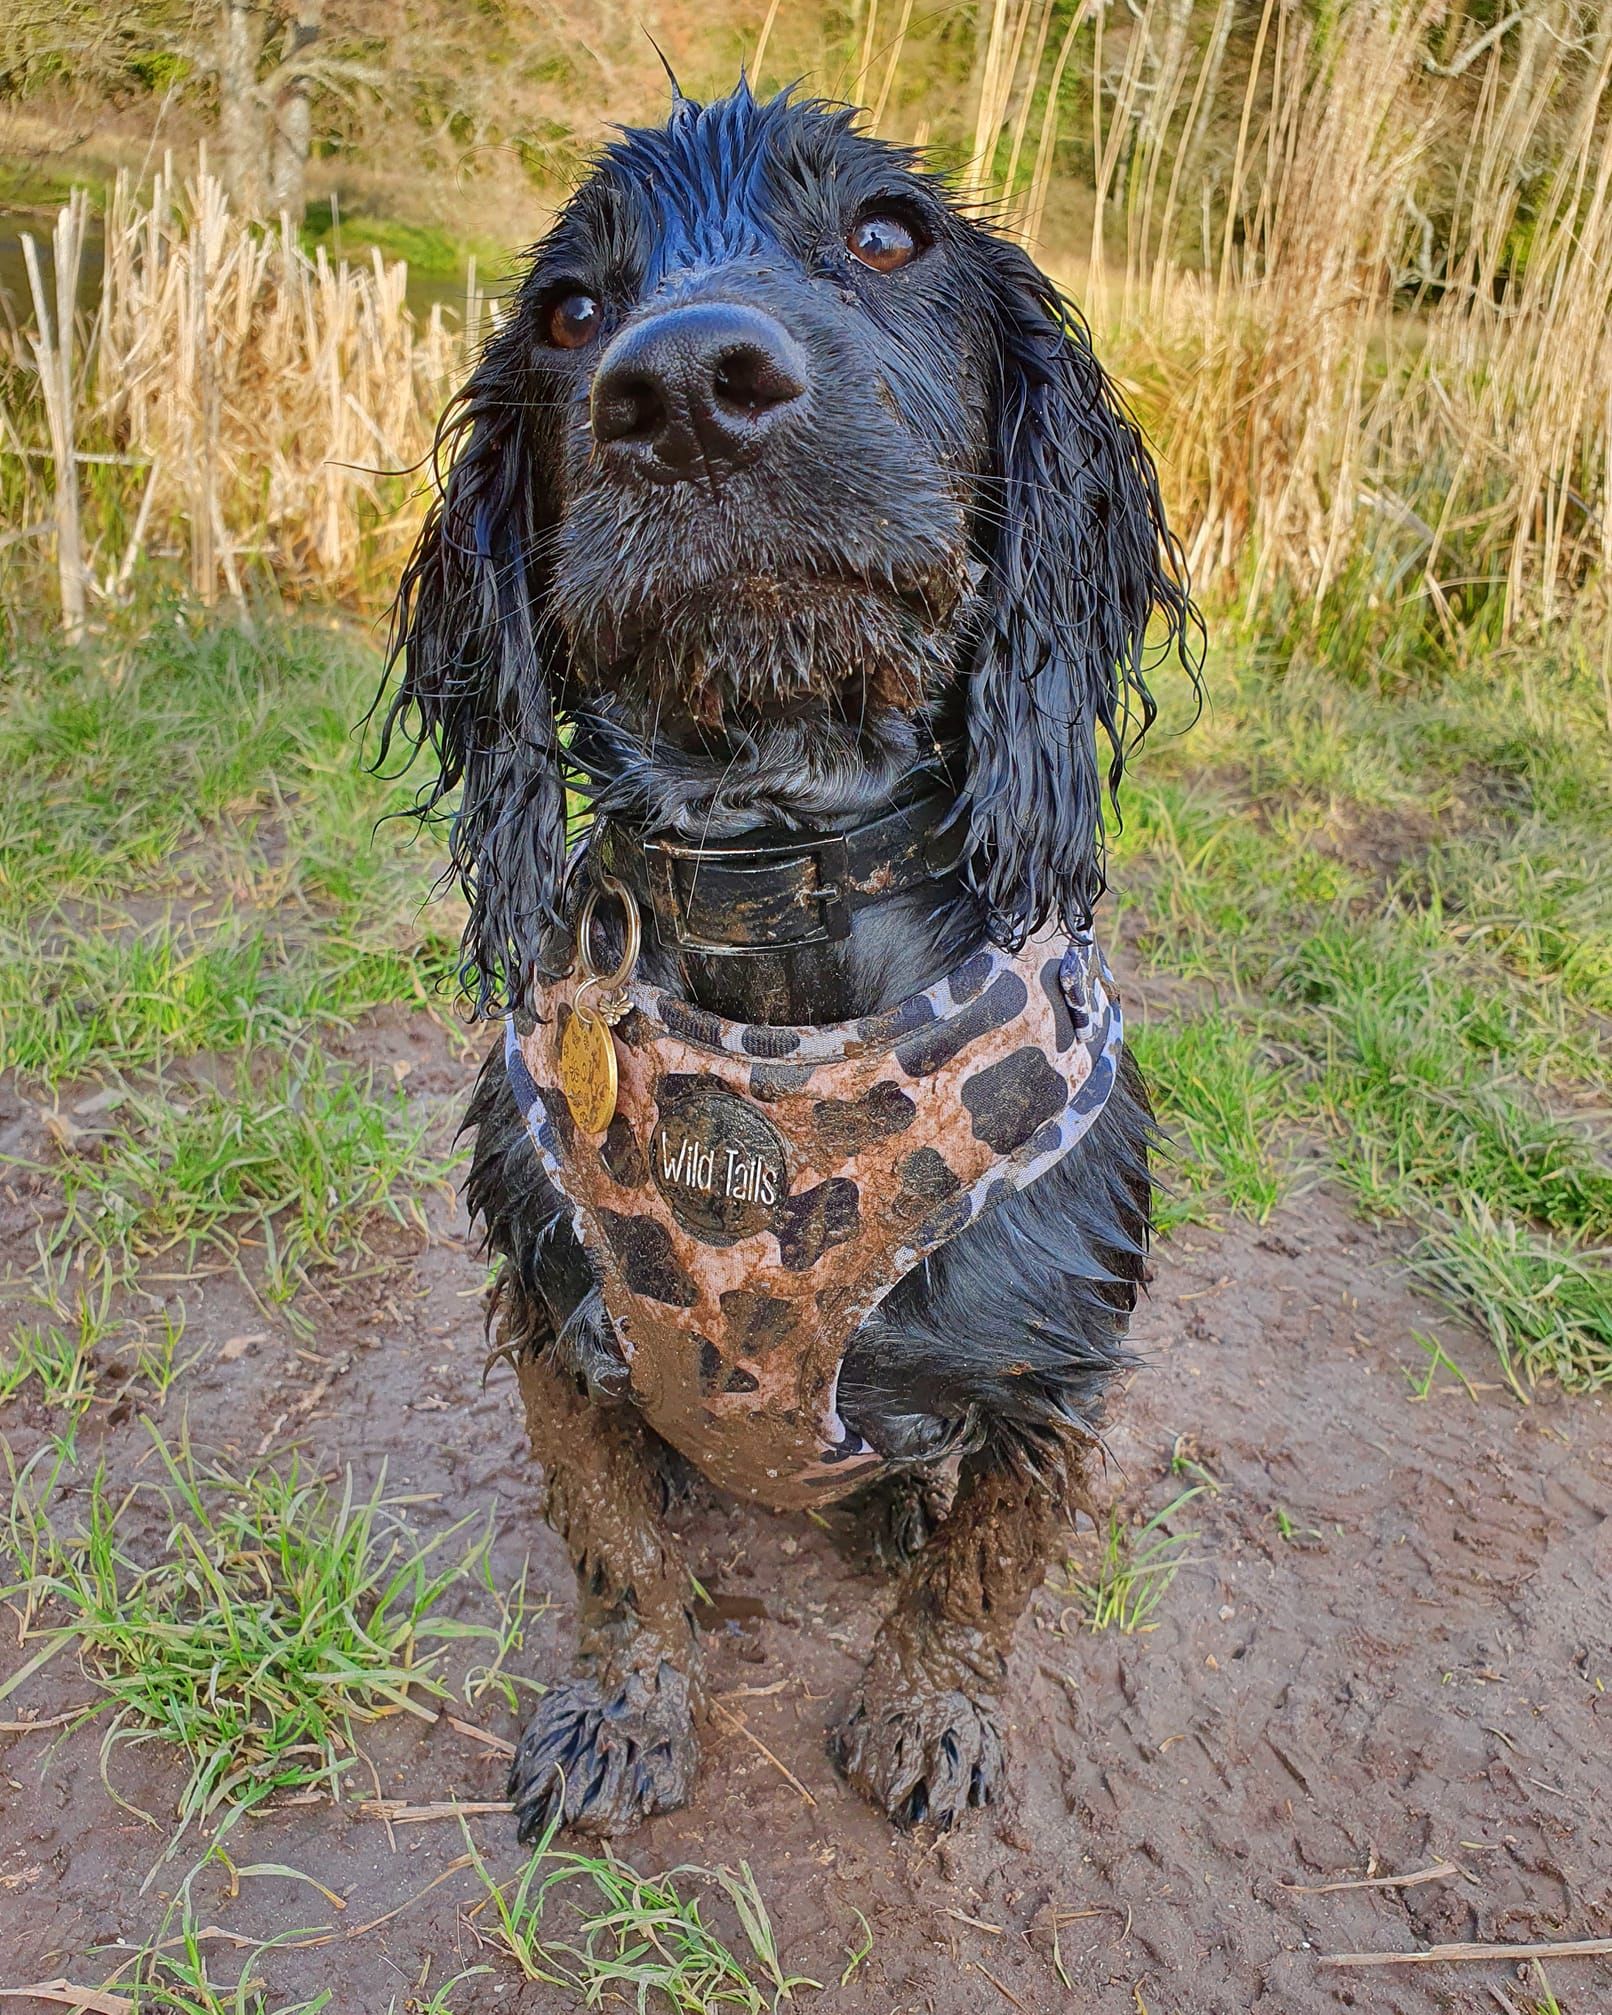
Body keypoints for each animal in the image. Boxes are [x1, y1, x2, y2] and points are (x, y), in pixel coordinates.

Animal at [380, 82, 1192, 1845]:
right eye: (568, 310)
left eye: (890, 233)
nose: (684, 386)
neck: (780, 858)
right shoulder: (553, 1318)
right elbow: (616, 1554)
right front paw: (627, 1710)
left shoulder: (1053, 1368)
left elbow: (982, 1580)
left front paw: (930, 1712)